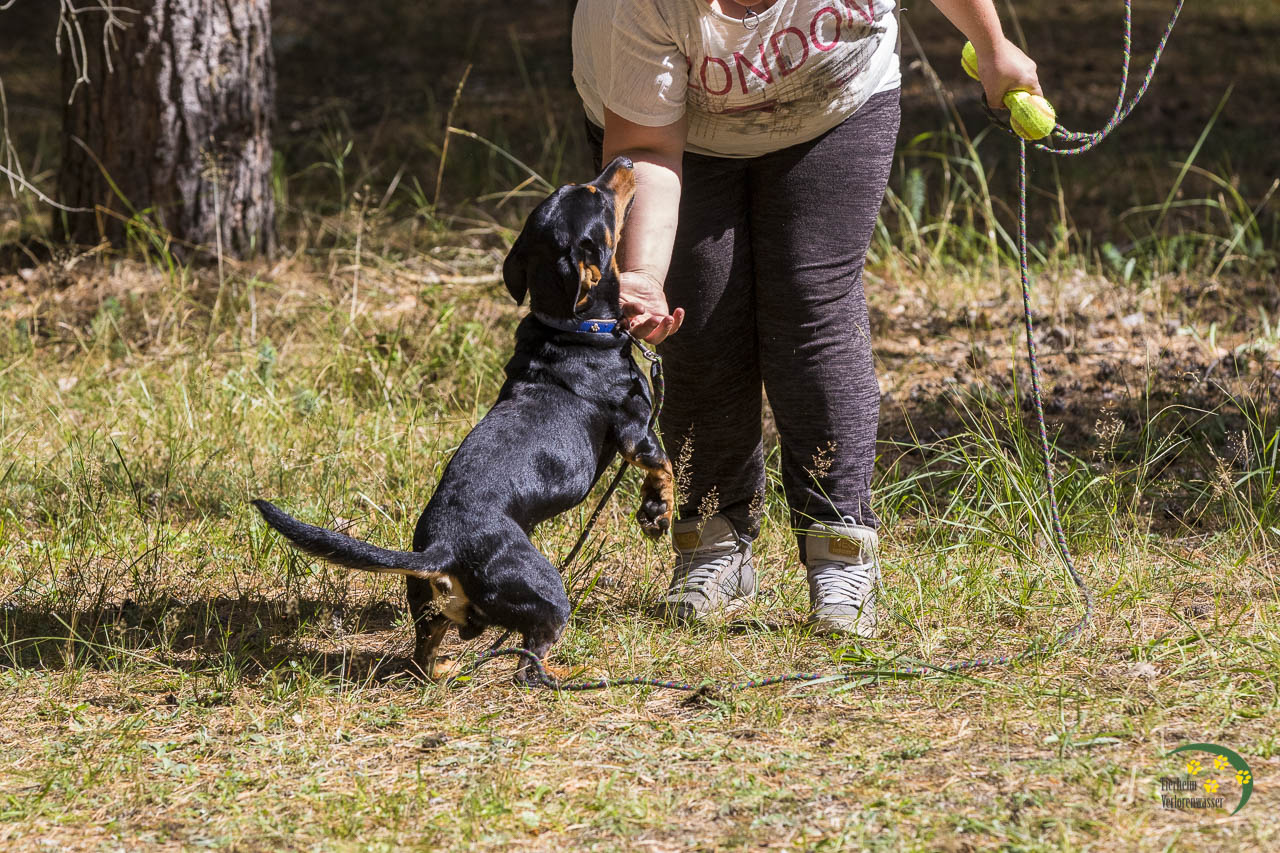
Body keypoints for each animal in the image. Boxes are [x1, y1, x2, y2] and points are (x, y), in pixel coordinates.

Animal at [252, 156, 674, 683]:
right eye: (595, 194)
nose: (624, 161)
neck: (571, 325)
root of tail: (443, 549)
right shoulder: (638, 432)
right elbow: (665, 468)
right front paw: (659, 515)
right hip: (547, 591)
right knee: (529, 662)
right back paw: (563, 676)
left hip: (428, 608)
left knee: (425, 657)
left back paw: (450, 668)